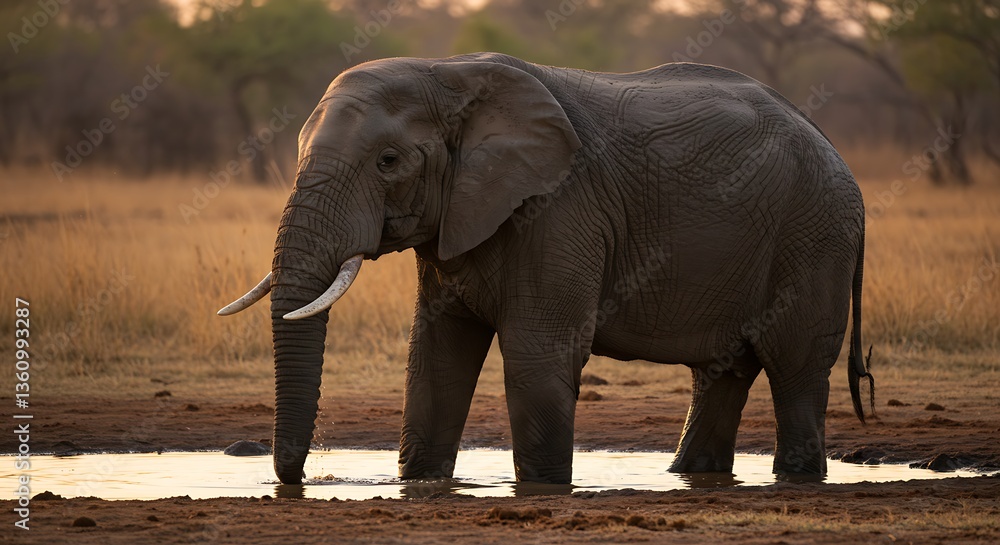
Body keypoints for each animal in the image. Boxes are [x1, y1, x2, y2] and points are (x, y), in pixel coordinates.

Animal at [219, 52, 875, 485]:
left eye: (387, 161)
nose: (300, 479)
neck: (448, 73)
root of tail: (838, 154)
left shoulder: (560, 209)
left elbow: (538, 351)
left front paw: (543, 487)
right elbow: (436, 353)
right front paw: (421, 481)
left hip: (814, 237)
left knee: (795, 369)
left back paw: (797, 478)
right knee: (722, 373)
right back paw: (692, 473)